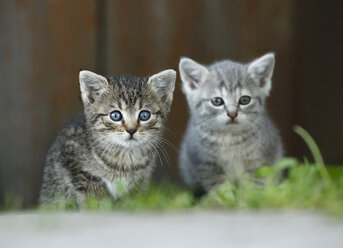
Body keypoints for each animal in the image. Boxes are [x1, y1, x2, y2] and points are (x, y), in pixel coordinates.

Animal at [39, 69, 176, 204]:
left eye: (144, 115)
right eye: (115, 115)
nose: (131, 130)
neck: (125, 159)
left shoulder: (140, 181)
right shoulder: (71, 157)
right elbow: (93, 194)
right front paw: (99, 202)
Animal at [179, 53, 284, 193]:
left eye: (244, 100)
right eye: (217, 101)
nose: (232, 114)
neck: (229, 139)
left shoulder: (261, 162)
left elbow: (255, 186)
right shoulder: (206, 166)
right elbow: (221, 189)